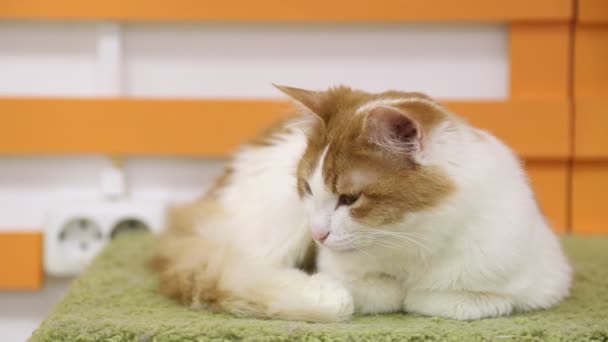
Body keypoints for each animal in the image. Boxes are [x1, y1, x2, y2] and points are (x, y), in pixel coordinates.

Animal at [154, 85, 572, 324]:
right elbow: (380, 294)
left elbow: (463, 300)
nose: (318, 235)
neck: (411, 241)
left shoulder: (541, 281)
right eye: (307, 187)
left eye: (350, 199)